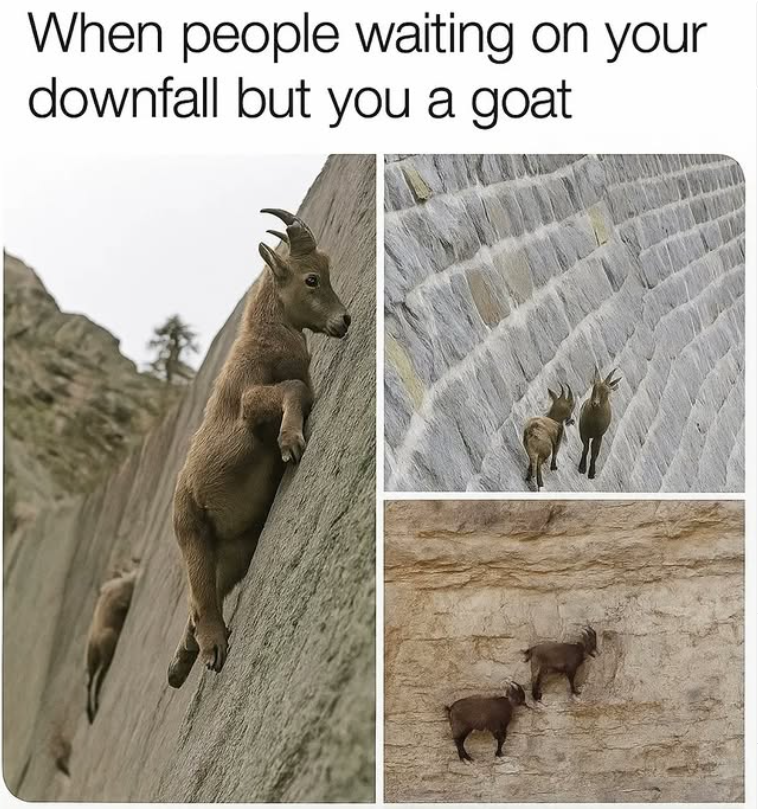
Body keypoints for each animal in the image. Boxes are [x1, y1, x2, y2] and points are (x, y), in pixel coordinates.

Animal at [85, 569, 137, 723]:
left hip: (92, 660)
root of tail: (94, 642)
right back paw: (93, 710)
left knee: (90, 682)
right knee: (97, 679)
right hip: (106, 653)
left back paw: (91, 712)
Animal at [167, 209, 350, 688]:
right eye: (311, 278)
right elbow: (290, 390)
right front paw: (290, 444)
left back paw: (180, 664)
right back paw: (211, 650)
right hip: (192, 531)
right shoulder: (249, 405)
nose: (344, 321)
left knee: (200, 602)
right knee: (202, 598)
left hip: (235, 550)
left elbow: (298, 390)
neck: (264, 339)